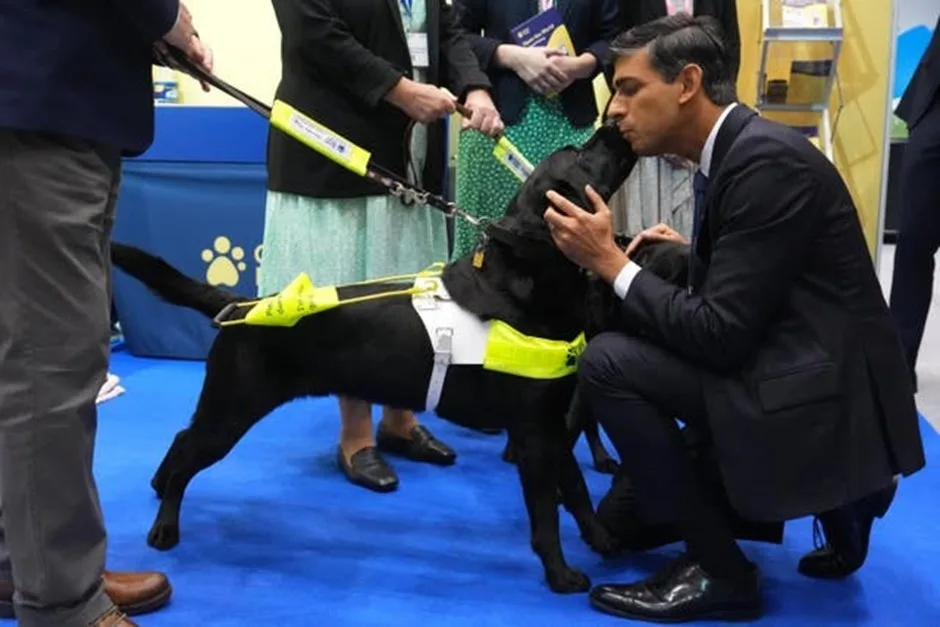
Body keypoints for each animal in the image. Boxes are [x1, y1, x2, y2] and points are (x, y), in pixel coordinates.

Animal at [110, 120, 680, 596]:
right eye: (581, 155)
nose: (614, 122)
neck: (529, 283)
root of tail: (243, 305)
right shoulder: (534, 434)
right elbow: (545, 512)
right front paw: (561, 574)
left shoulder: (552, 424)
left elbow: (577, 489)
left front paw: (602, 539)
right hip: (233, 405)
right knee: (189, 449)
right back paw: (164, 527)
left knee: (182, 439)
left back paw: (158, 487)